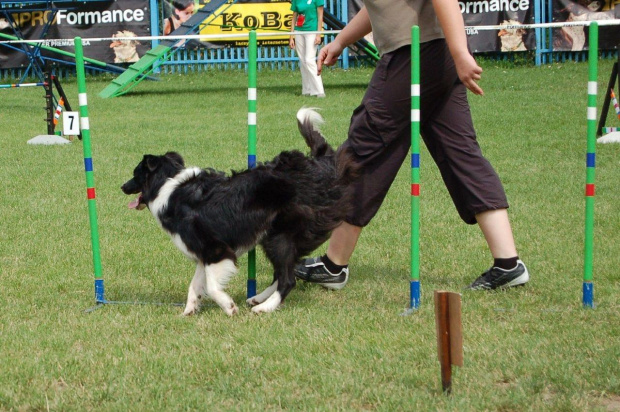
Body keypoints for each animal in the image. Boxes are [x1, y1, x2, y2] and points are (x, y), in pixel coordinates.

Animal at [121, 109, 358, 316]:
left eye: (135, 174)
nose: (122, 186)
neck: (167, 185)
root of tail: (316, 166)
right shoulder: (204, 253)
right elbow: (195, 285)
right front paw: (189, 310)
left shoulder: (216, 249)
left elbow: (212, 286)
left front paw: (228, 307)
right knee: (283, 273)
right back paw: (258, 298)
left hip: (279, 236)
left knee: (287, 279)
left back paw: (264, 307)